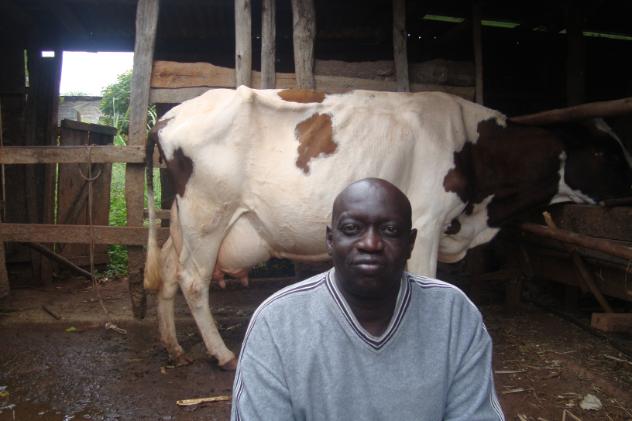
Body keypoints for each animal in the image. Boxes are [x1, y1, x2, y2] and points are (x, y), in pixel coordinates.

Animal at [143, 87, 632, 369]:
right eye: (605, 152)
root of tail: (169, 116)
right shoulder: (429, 222)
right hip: (208, 213)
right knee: (192, 280)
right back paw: (221, 354)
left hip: (183, 219)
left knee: (166, 271)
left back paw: (172, 347)